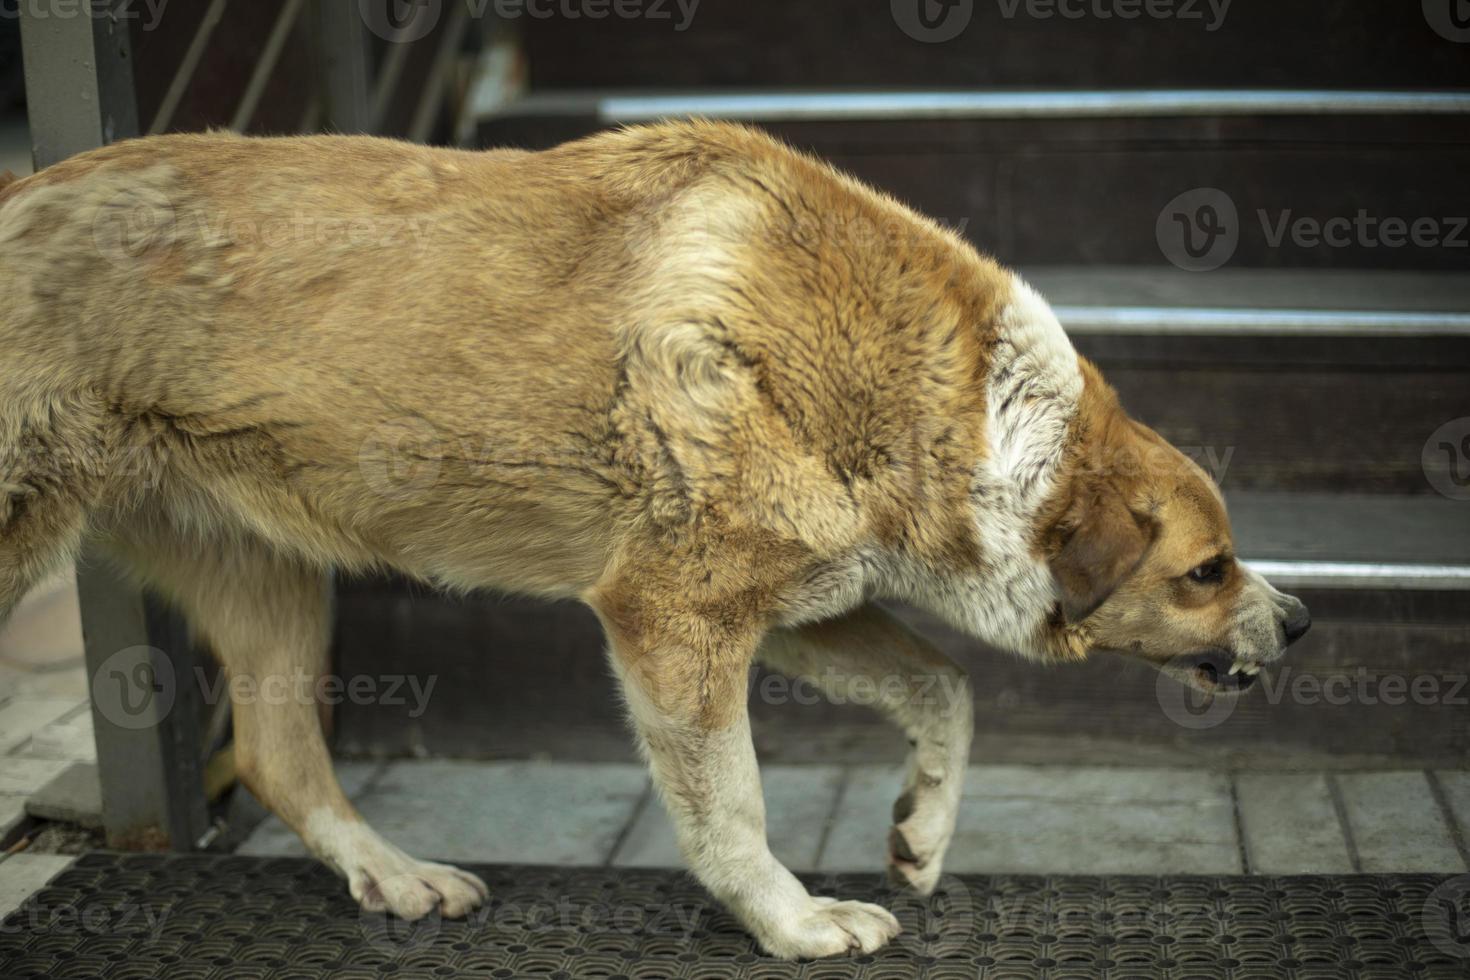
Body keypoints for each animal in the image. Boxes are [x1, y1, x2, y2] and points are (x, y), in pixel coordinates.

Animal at [0, 120, 1311, 957]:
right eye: (1207, 571)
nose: (1299, 618)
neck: (953, 404)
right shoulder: (675, 618)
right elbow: (732, 806)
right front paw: (795, 923)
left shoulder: (802, 606)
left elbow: (946, 688)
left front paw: (923, 832)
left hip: (264, 565)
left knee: (278, 753)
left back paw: (395, 877)